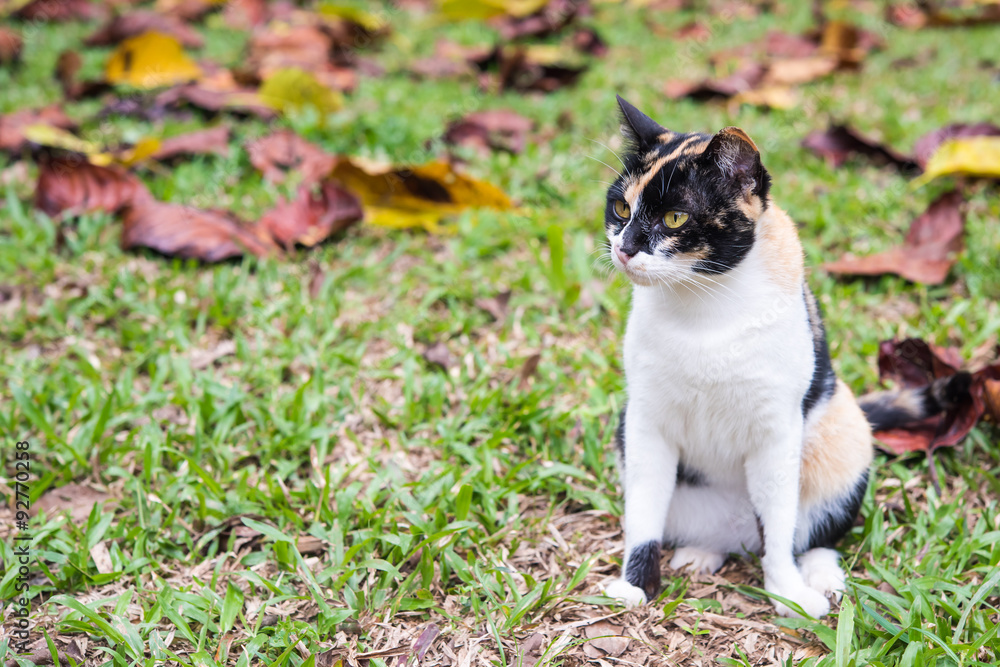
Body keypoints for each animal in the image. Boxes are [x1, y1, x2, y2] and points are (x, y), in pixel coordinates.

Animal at [600, 96, 968, 620]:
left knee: (809, 536)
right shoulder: (646, 421)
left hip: (845, 433)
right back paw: (703, 553)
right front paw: (635, 585)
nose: (624, 249)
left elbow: (779, 524)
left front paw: (787, 592)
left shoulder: (776, 431)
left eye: (674, 219)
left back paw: (820, 575)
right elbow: (644, 513)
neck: (704, 306)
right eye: (621, 207)